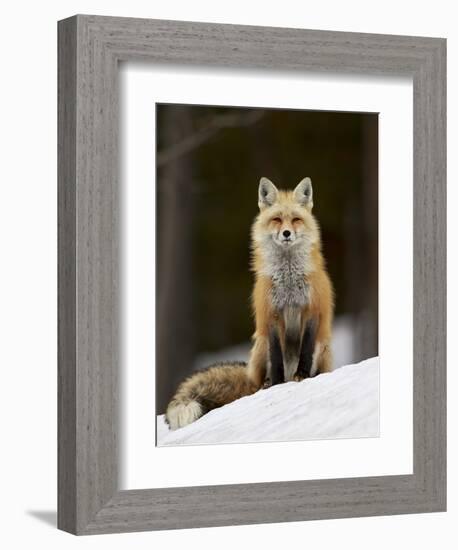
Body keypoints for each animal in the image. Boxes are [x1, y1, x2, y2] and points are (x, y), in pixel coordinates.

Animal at [165, 177, 332, 432]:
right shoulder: (271, 314)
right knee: (260, 377)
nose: (286, 233)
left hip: (322, 348)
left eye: (296, 219)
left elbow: (305, 349)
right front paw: (277, 384)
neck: (288, 278)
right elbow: (276, 356)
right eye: (276, 219)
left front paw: (302, 376)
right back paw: (266, 384)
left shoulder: (311, 310)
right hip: (259, 345)